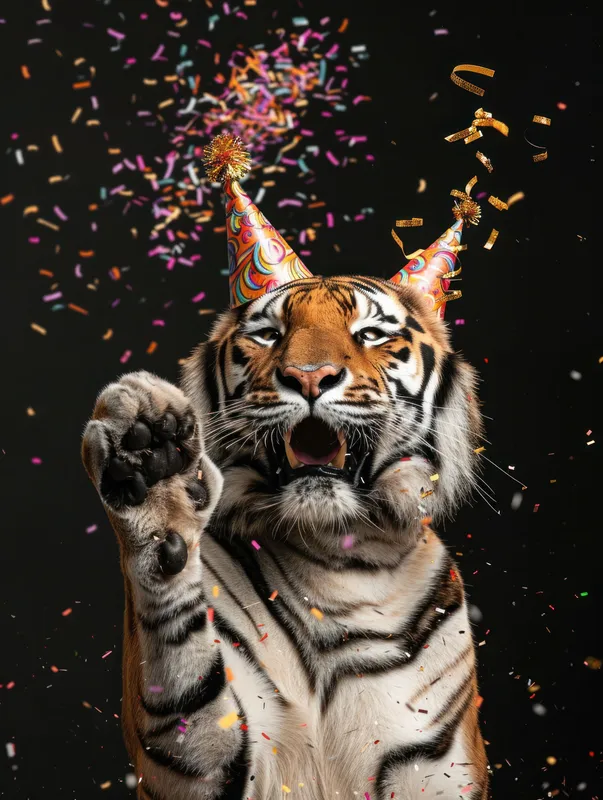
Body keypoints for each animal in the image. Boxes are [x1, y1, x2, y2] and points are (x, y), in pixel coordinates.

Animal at [81, 273, 489, 799]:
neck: (336, 561)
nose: (310, 377)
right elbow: (183, 670)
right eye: (269, 335)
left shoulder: (436, 763)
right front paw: (154, 472)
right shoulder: (193, 766)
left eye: (370, 334)